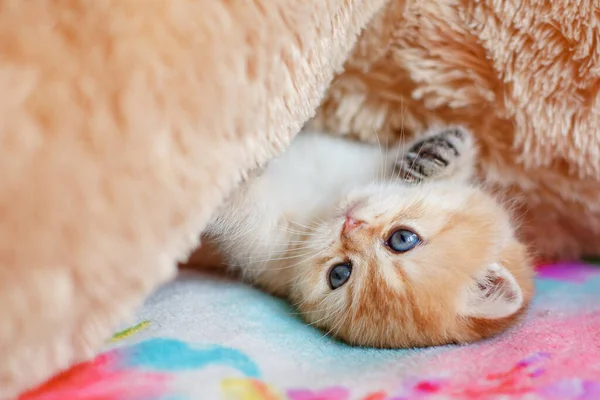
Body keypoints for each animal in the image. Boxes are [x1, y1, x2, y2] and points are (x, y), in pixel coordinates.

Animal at [206, 127, 536, 346]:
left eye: (339, 274)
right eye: (403, 238)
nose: (349, 225)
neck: (325, 202)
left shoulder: (267, 240)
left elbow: (242, 207)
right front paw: (438, 153)